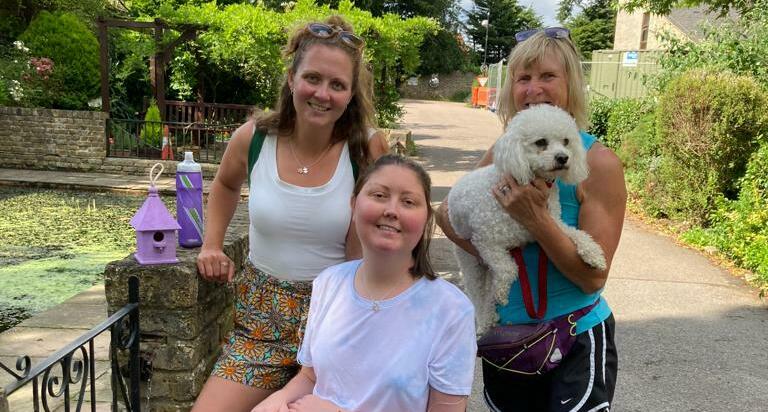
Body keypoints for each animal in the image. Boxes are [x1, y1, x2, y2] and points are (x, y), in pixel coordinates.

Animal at [450, 104, 608, 334]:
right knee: (478, 294)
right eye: (541, 142)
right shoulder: (486, 242)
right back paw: (485, 320)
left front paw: (594, 254)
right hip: (469, 260)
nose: (563, 158)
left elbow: (578, 233)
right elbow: (508, 269)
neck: (530, 182)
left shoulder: (552, 224)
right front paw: (501, 293)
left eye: (566, 141)